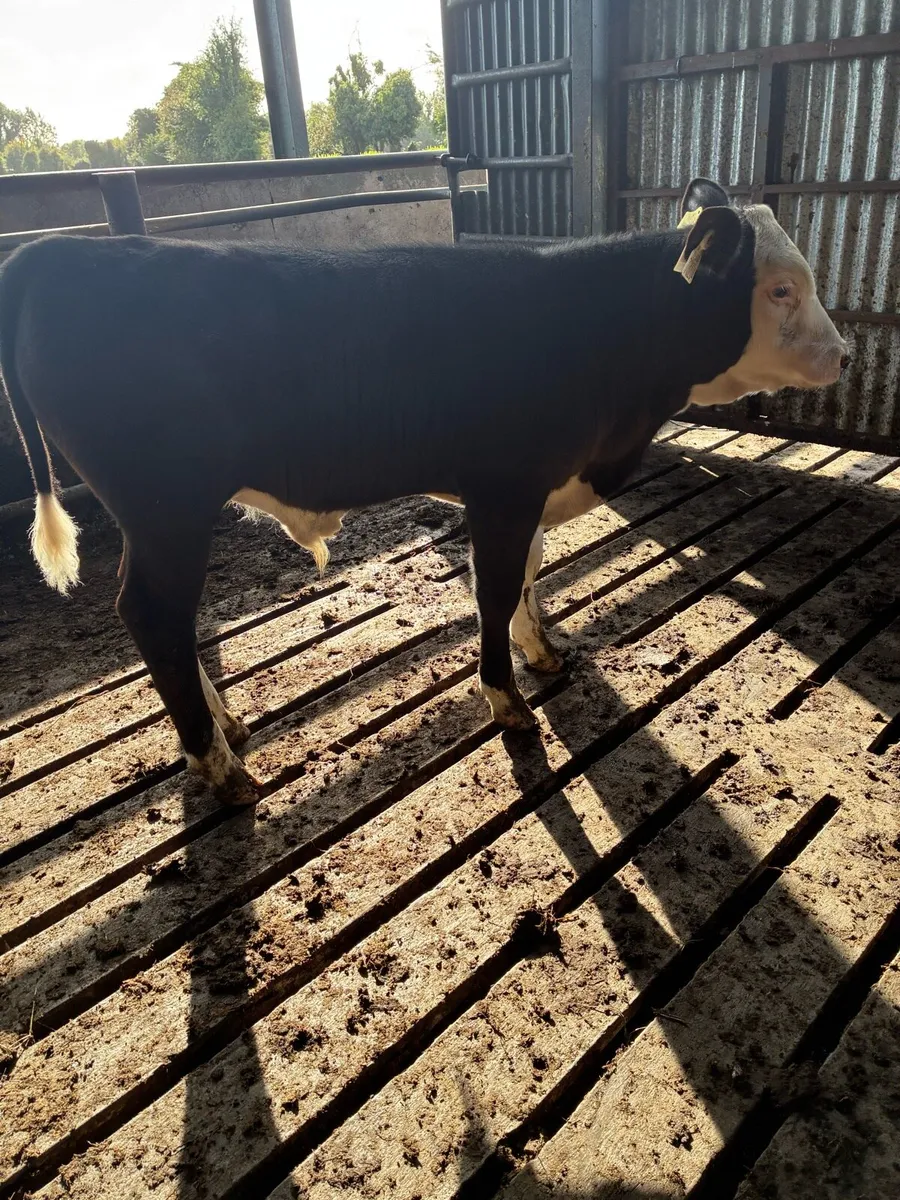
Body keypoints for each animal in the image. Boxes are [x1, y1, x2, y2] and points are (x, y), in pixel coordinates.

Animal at [0, 177, 848, 804]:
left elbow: (529, 577)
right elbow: (495, 590)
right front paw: (508, 701)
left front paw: (543, 653)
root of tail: (55, 254)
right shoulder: (503, 487)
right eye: (779, 290)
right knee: (152, 614)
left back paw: (225, 730)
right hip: (165, 508)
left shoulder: (530, 490)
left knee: (165, 619)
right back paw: (221, 767)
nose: (843, 356)